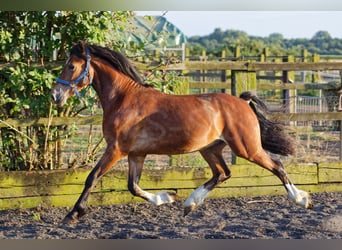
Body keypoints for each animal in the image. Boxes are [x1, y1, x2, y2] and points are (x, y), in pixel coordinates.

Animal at [50, 40, 312, 225]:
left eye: (71, 66)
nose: (55, 96)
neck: (124, 99)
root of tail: (243, 102)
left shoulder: (116, 150)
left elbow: (92, 177)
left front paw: (73, 214)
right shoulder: (136, 154)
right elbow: (133, 187)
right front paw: (166, 197)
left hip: (247, 148)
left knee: (277, 166)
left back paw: (302, 199)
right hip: (210, 148)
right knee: (222, 173)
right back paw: (189, 204)